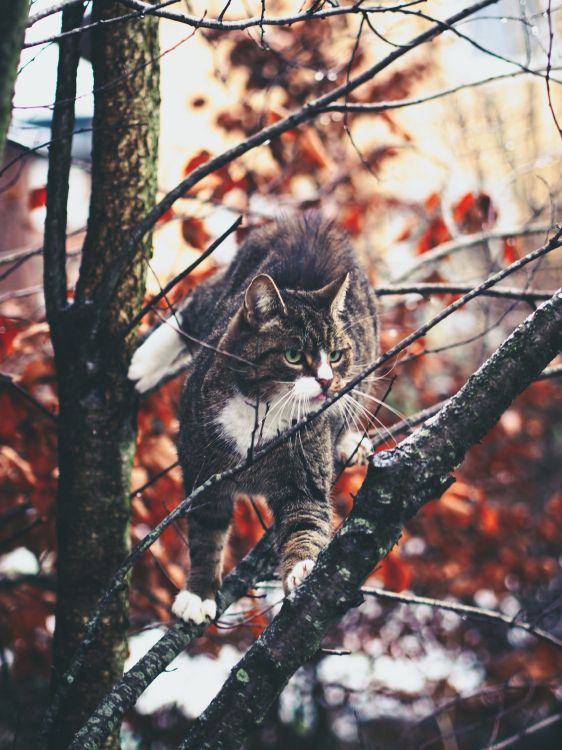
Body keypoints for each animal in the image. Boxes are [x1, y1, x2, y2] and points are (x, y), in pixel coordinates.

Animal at [128, 212, 376, 624]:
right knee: (197, 302)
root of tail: (310, 222)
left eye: (337, 355)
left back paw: (349, 441)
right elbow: (207, 534)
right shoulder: (203, 472)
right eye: (294, 355)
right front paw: (198, 593)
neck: (265, 411)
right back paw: (143, 365)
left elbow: (306, 522)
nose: (328, 381)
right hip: (225, 293)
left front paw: (303, 569)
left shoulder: (305, 477)